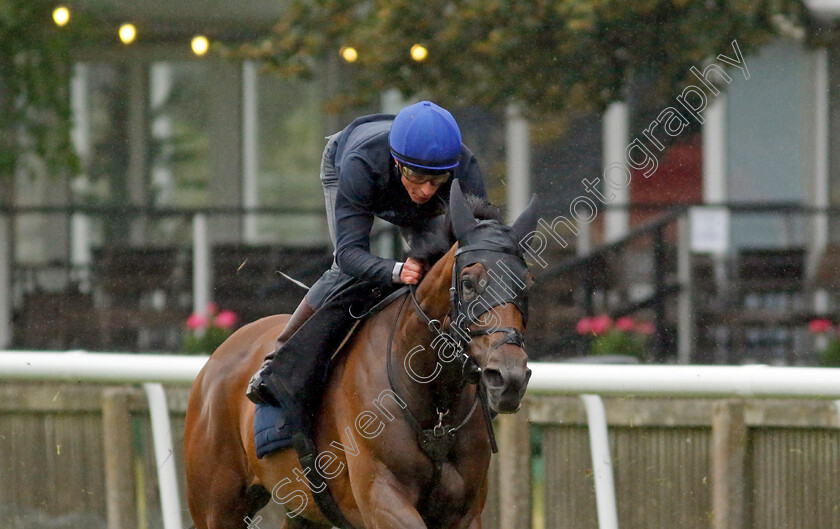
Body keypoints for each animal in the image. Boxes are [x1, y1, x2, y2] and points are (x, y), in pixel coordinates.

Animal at [184, 179, 540, 524]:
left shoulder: (463, 511)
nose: (508, 377)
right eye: (468, 282)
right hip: (217, 506)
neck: (436, 406)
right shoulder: (382, 497)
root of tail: (214, 361)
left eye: (527, 284)